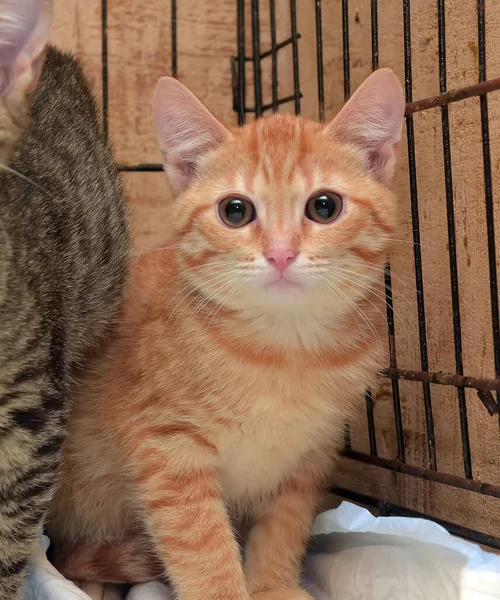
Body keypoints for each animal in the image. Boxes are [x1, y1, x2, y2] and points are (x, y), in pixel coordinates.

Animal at [47, 68, 404, 600]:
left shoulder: (309, 455)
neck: (284, 352)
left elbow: (284, 526)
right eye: (235, 211)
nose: (280, 253)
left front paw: (274, 586)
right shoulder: (166, 445)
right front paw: (224, 590)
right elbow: (201, 543)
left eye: (324, 206)